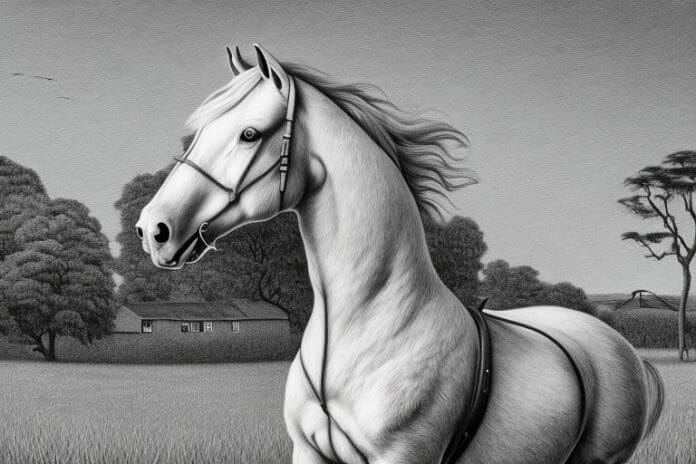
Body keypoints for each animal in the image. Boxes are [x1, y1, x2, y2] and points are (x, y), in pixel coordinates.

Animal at [136, 44, 664, 464]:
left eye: (249, 133)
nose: (153, 230)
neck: (369, 324)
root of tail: (621, 347)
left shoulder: (403, 457)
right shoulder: (309, 453)